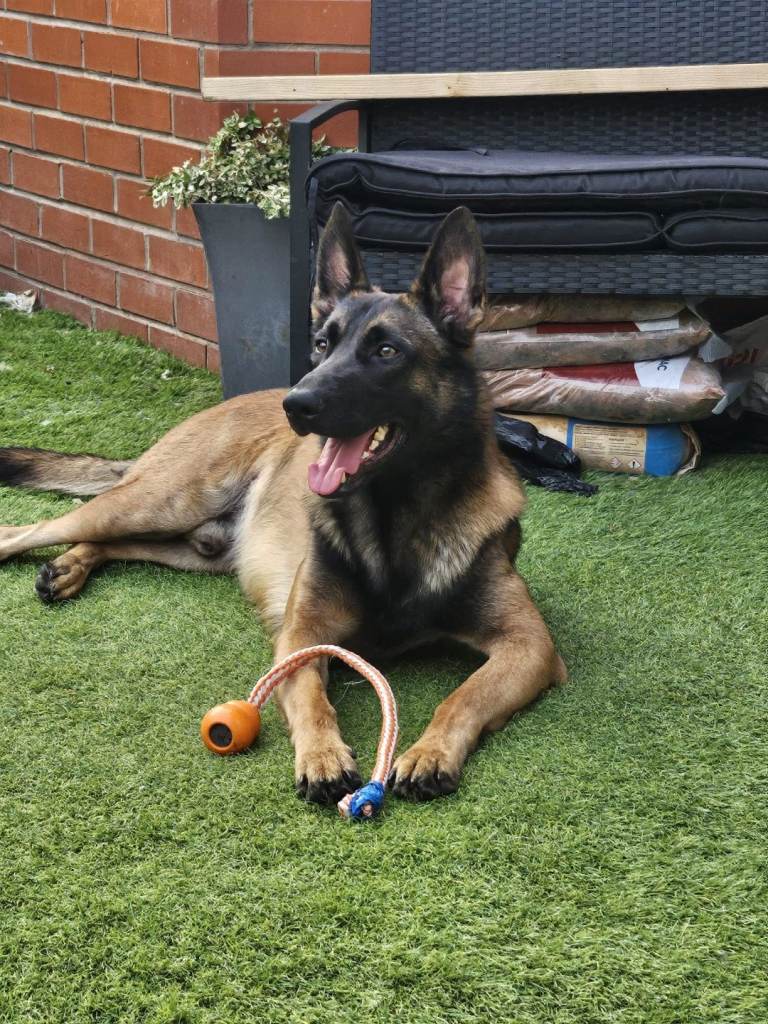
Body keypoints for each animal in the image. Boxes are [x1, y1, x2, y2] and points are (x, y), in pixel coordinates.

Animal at [0, 204, 566, 803]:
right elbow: (311, 695)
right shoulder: (301, 634)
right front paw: (321, 755)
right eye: (321, 345)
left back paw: (68, 567)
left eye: (387, 351)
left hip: (192, 545)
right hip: (162, 501)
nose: (297, 405)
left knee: (110, 542)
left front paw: (430, 752)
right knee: (37, 527)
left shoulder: (529, 645)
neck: (394, 517)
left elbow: (465, 695)